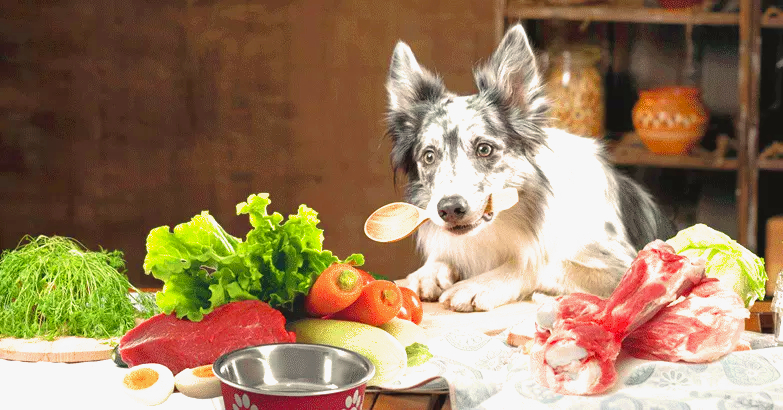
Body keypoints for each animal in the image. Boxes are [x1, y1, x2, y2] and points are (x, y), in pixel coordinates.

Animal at [382, 24, 676, 312]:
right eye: (429, 156)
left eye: (484, 149)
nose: (450, 209)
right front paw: (429, 272)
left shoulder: (626, 265)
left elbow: (538, 262)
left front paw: (481, 284)